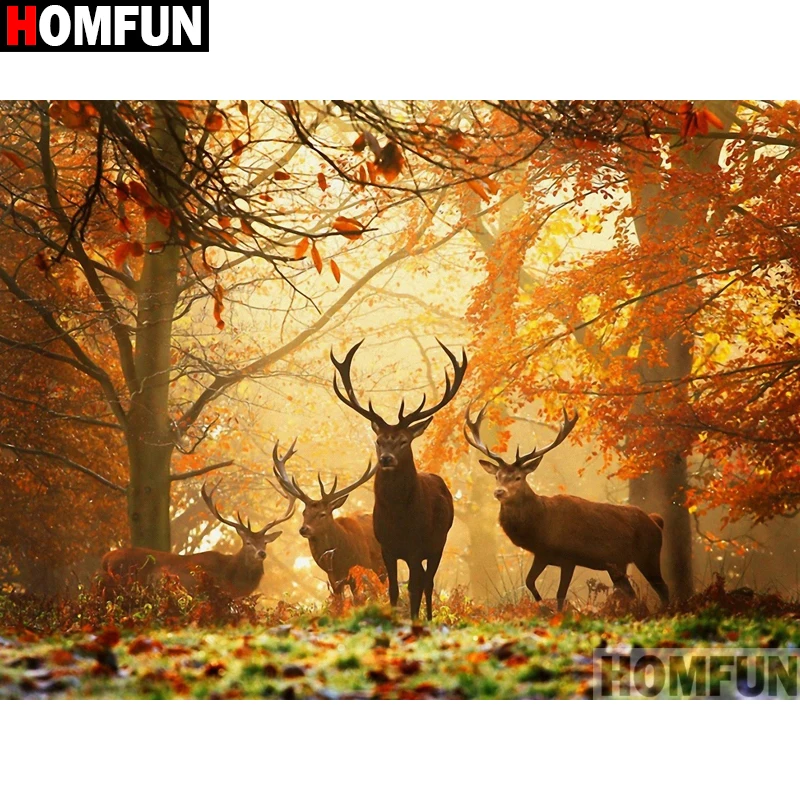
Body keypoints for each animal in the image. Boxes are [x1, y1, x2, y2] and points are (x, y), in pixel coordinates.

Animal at [331, 338, 468, 620]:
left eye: (404, 441)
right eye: (379, 440)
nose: (386, 459)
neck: (399, 520)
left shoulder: (417, 547)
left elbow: (414, 588)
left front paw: (414, 620)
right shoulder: (387, 547)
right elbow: (393, 590)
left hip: (439, 542)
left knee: (428, 582)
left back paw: (428, 618)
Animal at [464, 403, 670, 611]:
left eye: (518, 477)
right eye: (497, 476)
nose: (499, 492)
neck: (541, 526)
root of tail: (656, 521)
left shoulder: (569, 557)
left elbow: (560, 594)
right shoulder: (542, 554)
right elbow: (529, 581)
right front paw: (542, 607)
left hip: (649, 554)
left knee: (663, 589)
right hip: (618, 564)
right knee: (631, 593)